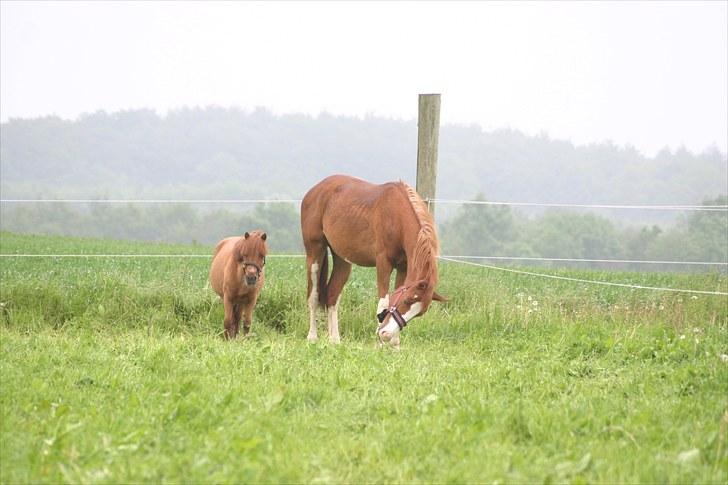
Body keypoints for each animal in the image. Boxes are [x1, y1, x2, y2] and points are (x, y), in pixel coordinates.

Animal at [300, 172, 446, 346]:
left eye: (418, 314)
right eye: (408, 300)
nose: (386, 334)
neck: (397, 216)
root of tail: (314, 191)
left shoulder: (403, 268)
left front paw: (394, 344)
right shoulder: (383, 263)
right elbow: (383, 303)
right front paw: (380, 344)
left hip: (342, 260)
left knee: (332, 295)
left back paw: (334, 340)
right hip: (315, 252)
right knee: (313, 295)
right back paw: (312, 337)